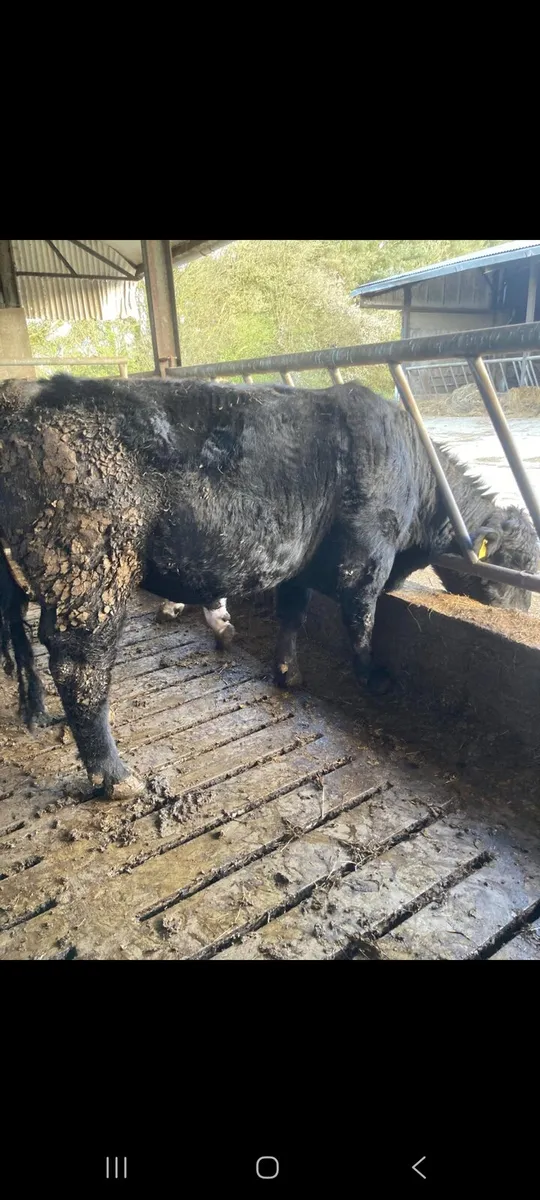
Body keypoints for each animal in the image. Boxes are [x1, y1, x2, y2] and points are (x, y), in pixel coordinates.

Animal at [0, 374, 537, 801]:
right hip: (92, 571)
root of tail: (27, 393)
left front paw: (287, 671)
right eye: (522, 562)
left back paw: (35, 711)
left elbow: (293, 614)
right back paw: (114, 776)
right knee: (79, 665)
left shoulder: (298, 563)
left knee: (18, 632)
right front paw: (373, 678)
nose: (524, 616)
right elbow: (362, 618)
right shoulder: (366, 557)